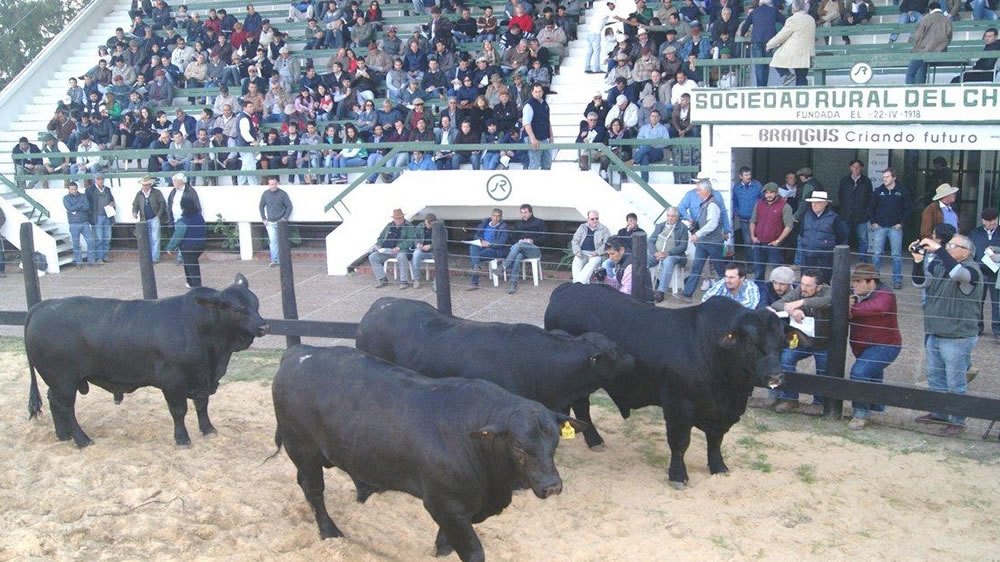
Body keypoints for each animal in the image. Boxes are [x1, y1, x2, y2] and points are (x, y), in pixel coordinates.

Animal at [26, 272, 268, 446]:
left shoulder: (201, 378)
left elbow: (202, 405)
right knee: (66, 407)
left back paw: (63, 435)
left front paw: (208, 429)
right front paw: (182, 438)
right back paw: (81, 439)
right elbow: (179, 410)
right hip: (63, 380)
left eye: (256, 304)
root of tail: (43, 305)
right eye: (237, 309)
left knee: (53, 401)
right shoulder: (172, 381)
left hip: (58, 382)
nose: (264, 326)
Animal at [274, 344, 584, 556]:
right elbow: (472, 550)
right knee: (314, 490)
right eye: (518, 444)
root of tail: (300, 351)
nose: (552, 486)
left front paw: (441, 548)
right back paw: (329, 531)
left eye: (556, 439)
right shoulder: (445, 503)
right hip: (303, 449)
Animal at [548, 284, 788, 486]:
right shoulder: (678, 405)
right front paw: (678, 476)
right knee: (582, 407)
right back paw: (594, 440)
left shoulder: (719, 412)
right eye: (750, 342)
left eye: (781, 342)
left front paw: (719, 467)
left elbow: (716, 440)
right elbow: (680, 443)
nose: (775, 376)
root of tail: (568, 288)